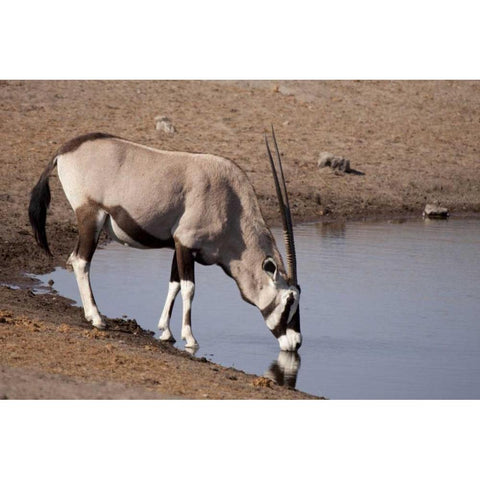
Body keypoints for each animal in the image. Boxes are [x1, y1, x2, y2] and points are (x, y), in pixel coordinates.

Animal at [28, 129, 302, 350]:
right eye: (290, 299)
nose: (296, 343)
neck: (231, 202)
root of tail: (64, 150)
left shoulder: (179, 246)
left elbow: (174, 284)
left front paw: (166, 331)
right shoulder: (186, 244)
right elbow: (189, 288)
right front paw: (189, 338)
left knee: (76, 259)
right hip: (91, 216)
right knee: (81, 261)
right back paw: (96, 318)